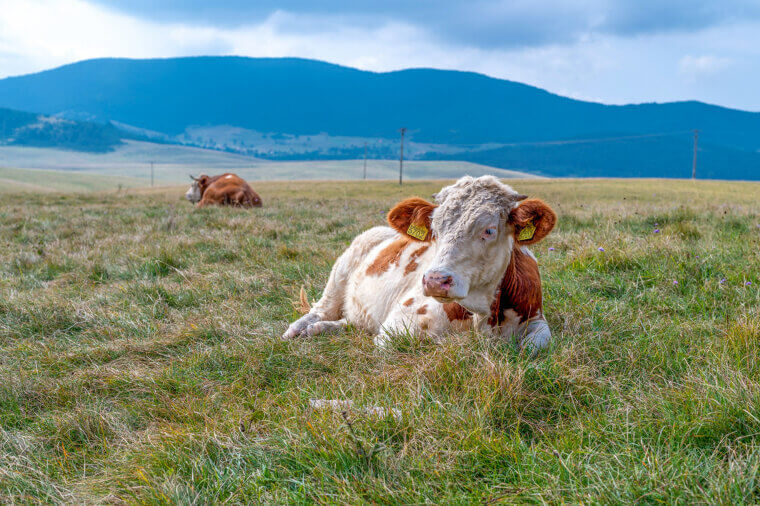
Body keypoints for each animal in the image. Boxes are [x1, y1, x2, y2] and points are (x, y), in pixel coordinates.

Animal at [283, 175, 557, 353]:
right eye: (434, 228)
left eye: (489, 230)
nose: (435, 280)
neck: (484, 317)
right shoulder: (396, 326)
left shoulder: (537, 320)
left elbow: (535, 346)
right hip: (341, 270)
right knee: (320, 310)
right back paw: (299, 330)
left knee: (351, 323)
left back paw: (319, 329)